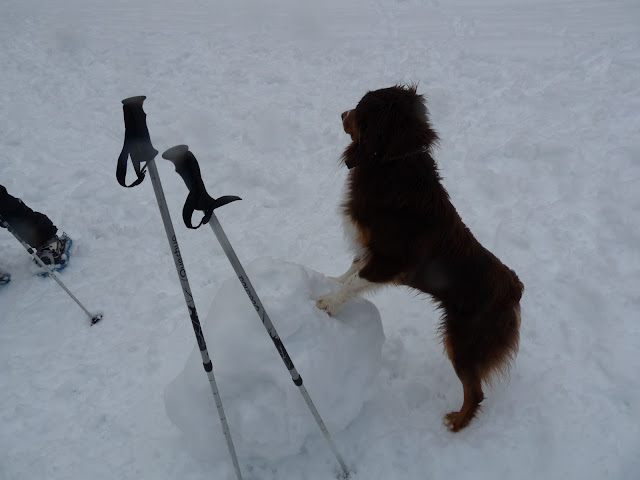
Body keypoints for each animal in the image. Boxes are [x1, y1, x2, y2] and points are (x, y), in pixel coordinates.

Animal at [316, 83, 524, 432]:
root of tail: (514, 289)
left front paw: (328, 303)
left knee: (475, 391)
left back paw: (456, 423)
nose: (341, 113)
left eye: (359, 110)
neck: (392, 163)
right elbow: (351, 271)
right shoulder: (369, 250)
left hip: (464, 341)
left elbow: (356, 280)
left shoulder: (389, 260)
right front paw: (328, 280)